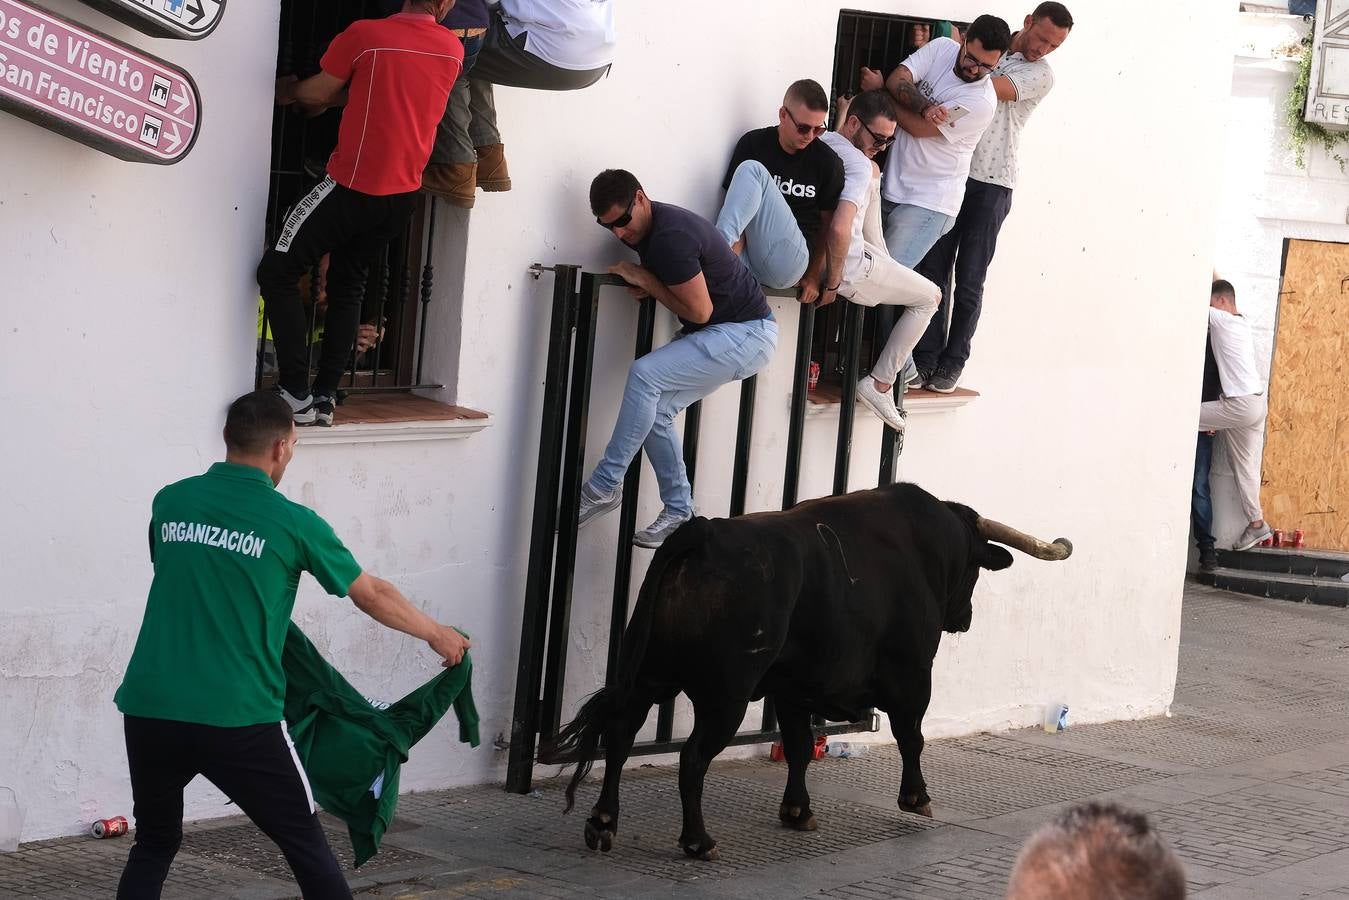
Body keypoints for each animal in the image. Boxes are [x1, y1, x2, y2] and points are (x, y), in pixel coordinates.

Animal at [531, 483, 1068, 863]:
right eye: (974, 569)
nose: (965, 618)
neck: (925, 546)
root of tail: (704, 533)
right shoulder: (913, 676)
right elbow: (910, 736)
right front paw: (916, 798)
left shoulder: (791, 690)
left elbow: (797, 747)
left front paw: (797, 811)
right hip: (725, 695)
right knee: (692, 757)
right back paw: (698, 841)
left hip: (647, 675)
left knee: (621, 737)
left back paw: (603, 822)